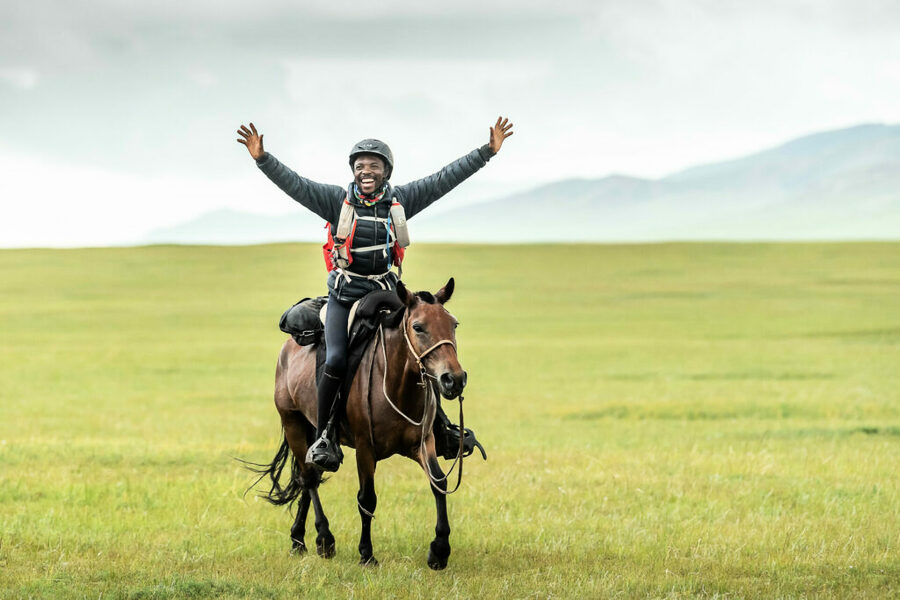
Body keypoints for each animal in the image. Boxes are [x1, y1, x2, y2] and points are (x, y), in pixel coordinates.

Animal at [250, 276, 468, 568]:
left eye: (453, 324)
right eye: (418, 327)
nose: (453, 379)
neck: (396, 384)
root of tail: (288, 349)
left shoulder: (423, 443)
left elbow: (439, 484)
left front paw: (440, 550)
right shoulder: (365, 449)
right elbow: (367, 498)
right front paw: (366, 553)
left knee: (309, 477)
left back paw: (298, 539)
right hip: (293, 423)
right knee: (308, 479)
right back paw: (323, 538)